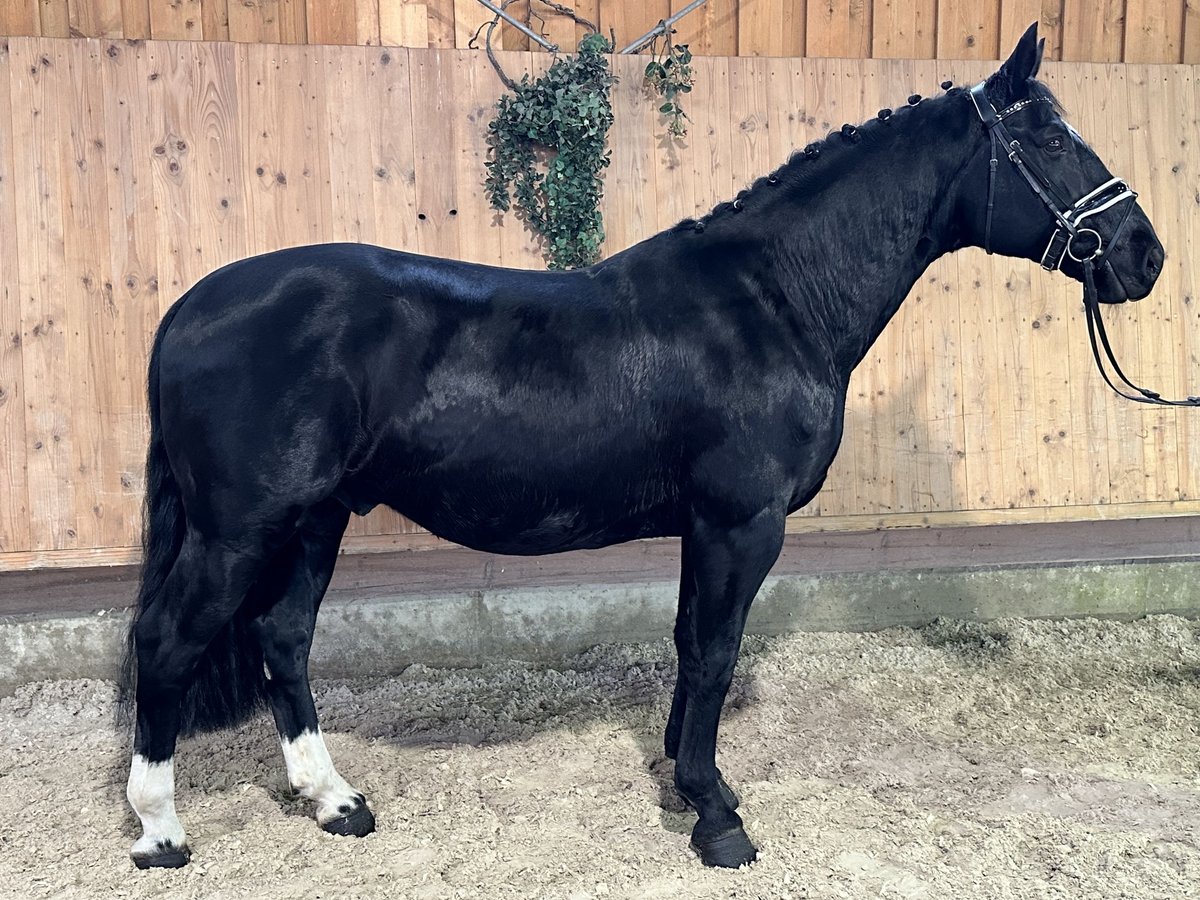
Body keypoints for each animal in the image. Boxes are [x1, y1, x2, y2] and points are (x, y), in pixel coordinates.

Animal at [119, 24, 1161, 873]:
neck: (774, 299)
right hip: (241, 530)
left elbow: (692, 642)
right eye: (1052, 139)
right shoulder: (741, 523)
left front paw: (695, 782)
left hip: (314, 519)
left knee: (281, 637)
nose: (1142, 254)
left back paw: (335, 803)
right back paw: (162, 833)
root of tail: (187, 308)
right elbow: (714, 651)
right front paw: (716, 819)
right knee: (167, 643)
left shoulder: (709, 527)